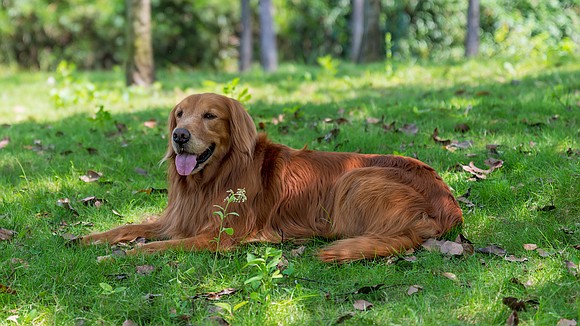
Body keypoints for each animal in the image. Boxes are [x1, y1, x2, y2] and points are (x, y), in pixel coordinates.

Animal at [81, 92, 462, 262]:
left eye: (209, 116)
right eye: (179, 114)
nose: (179, 136)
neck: (213, 178)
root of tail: (447, 207)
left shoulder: (218, 236)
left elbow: (155, 246)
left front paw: (115, 256)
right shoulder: (178, 219)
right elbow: (129, 227)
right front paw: (86, 238)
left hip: (355, 179)